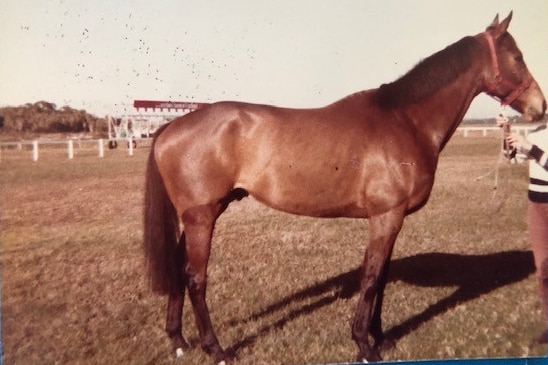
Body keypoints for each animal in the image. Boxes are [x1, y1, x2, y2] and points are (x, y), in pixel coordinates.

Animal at [143, 12, 544, 362]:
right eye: (517, 57)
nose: (540, 107)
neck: (406, 120)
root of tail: (171, 126)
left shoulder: (391, 218)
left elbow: (381, 276)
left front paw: (381, 338)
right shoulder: (386, 215)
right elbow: (371, 277)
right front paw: (364, 345)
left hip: (199, 215)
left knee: (179, 270)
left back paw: (179, 341)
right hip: (202, 217)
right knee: (196, 278)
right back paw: (217, 349)